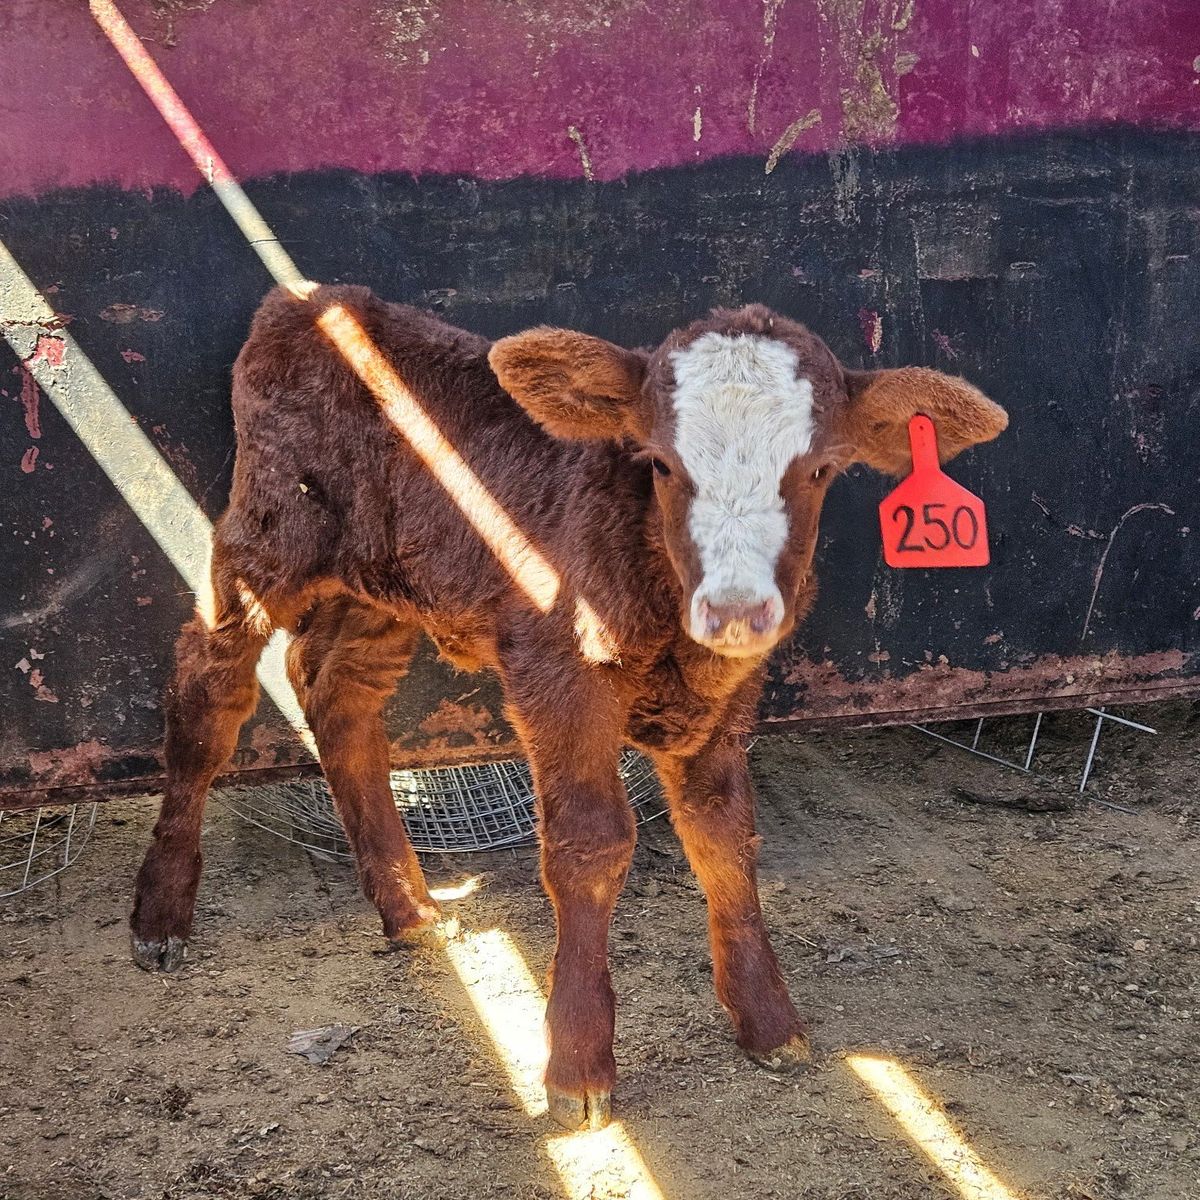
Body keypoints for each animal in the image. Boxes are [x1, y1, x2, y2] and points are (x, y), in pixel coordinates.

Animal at [130, 284, 1007, 1130]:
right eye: (661, 464)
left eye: (822, 469)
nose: (735, 609)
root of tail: (303, 301)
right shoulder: (558, 670)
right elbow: (591, 843)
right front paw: (578, 1067)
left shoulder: (726, 696)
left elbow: (725, 836)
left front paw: (768, 1022)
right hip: (268, 536)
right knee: (210, 684)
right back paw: (161, 916)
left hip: (388, 581)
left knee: (337, 690)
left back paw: (407, 907)